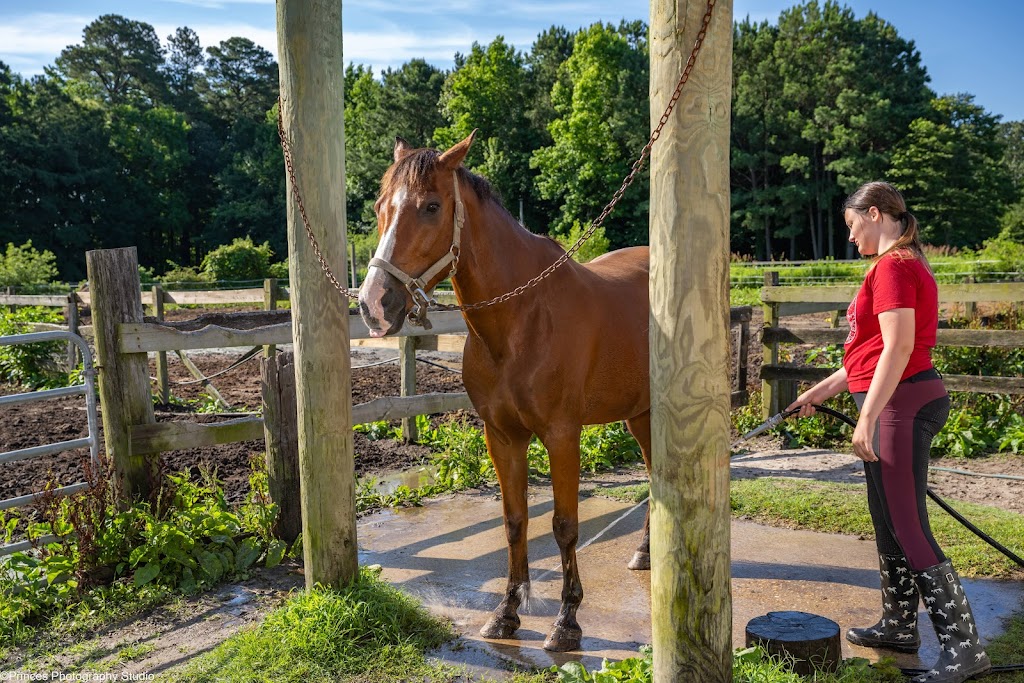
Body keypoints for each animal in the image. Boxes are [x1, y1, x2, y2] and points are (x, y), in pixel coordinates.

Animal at [358, 132, 651, 652]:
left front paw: (566, 621)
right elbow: (515, 522)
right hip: (639, 414)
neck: (522, 319)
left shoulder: (562, 435)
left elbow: (564, 526)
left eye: (431, 206)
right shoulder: (501, 435)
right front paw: (506, 613)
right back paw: (643, 553)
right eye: (379, 207)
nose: (374, 304)